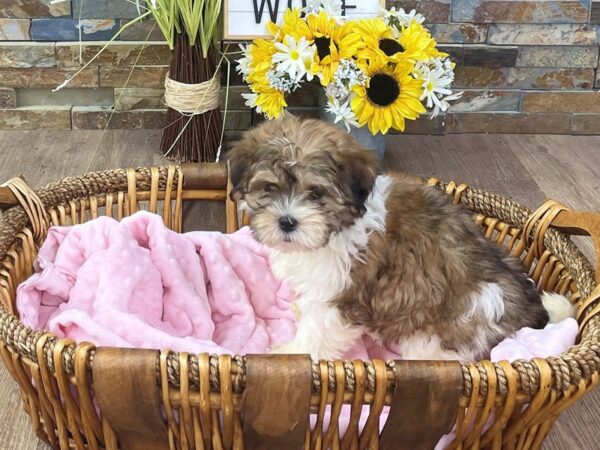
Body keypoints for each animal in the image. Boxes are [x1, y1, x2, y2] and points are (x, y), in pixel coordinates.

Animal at [227, 117, 576, 362]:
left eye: (315, 193)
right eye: (269, 188)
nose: (286, 222)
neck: (341, 225)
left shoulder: (346, 290)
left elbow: (319, 328)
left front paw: (293, 352)